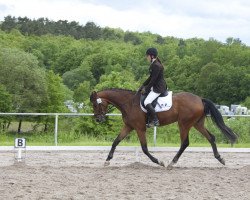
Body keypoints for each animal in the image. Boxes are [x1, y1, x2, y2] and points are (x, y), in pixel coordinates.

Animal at [89, 88, 236, 168]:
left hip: (184, 124)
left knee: (185, 143)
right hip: (197, 123)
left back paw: (172, 162)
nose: (98, 119)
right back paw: (220, 158)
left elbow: (144, 148)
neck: (129, 103)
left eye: (95, 105)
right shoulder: (129, 126)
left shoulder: (139, 128)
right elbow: (115, 142)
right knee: (211, 137)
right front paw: (107, 161)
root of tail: (200, 99)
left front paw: (159, 161)